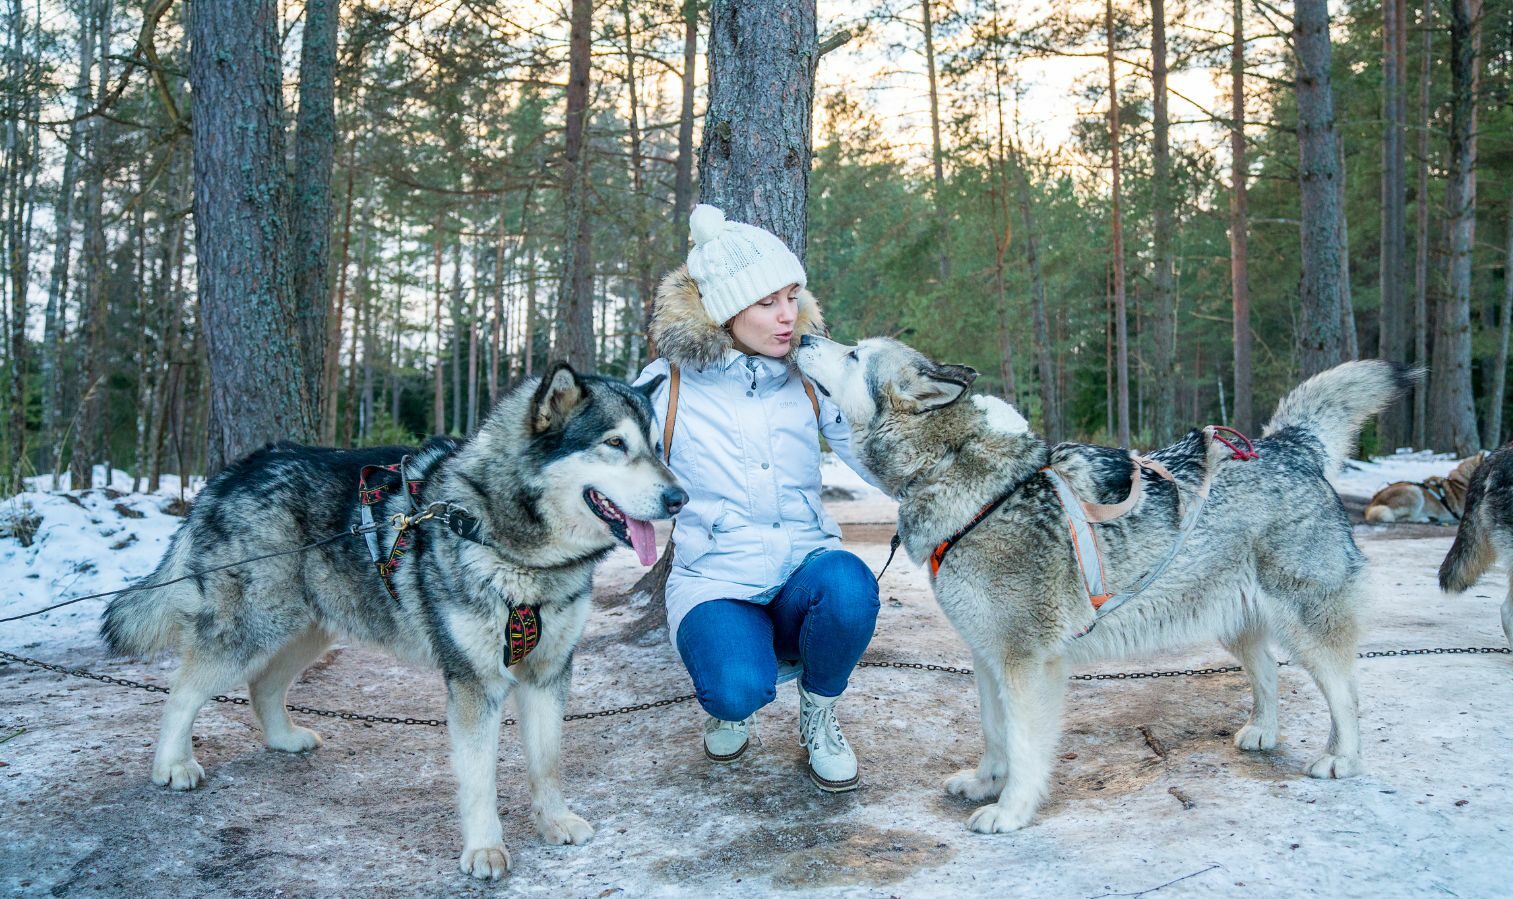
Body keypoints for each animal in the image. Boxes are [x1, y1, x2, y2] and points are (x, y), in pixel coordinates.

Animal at [108, 361, 692, 877]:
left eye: (656, 448)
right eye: (615, 444)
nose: (679, 497)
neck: (512, 546)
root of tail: (235, 470)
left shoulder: (549, 675)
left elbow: (546, 762)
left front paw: (554, 821)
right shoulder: (474, 683)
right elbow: (479, 779)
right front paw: (484, 850)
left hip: (311, 629)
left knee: (262, 686)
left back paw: (282, 739)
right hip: (251, 631)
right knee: (182, 691)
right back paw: (172, 766)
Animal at [792, 335, 1416, 835]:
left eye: (852, 353)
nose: (801, 336)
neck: (961, 471)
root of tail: (1290, 444)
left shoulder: (1026, 663)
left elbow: (1024, 746)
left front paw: (1011, 811)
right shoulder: (987, 657)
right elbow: (995, 735)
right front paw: (986, 782)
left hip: (1305, 625)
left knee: (1346, 693)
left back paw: (1343, 760)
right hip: (1235, 622)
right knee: (1267, 673)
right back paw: (1264, 732)